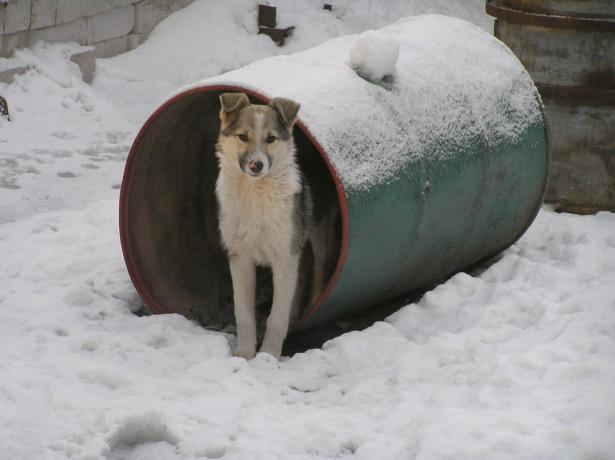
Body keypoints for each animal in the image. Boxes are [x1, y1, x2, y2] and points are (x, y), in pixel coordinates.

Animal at [214, 92, 334, 360]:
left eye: (270, 139)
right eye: (243, 137)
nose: (256, 165)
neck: (255, 192)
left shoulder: (284, 256)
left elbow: (277, 317)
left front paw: (268, 355)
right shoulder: (240, 257)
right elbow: (243, 312)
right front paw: (245, 352)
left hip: (318, 234)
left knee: (318, 270)